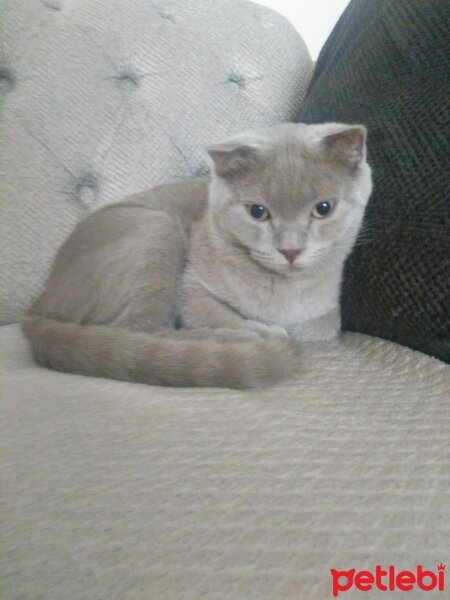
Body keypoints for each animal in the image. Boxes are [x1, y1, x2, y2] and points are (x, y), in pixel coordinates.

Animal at [22, 124, 372, 392]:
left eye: (323, 208)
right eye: (257, 212)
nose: (290, 250)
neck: (282, 291)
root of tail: (39, 304)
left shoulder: (327, 315)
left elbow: (317, 327)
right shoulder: (193, 290)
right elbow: (223, 314)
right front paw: (263, 331)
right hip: (157, 227)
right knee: (138, 332)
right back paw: (237, 340)